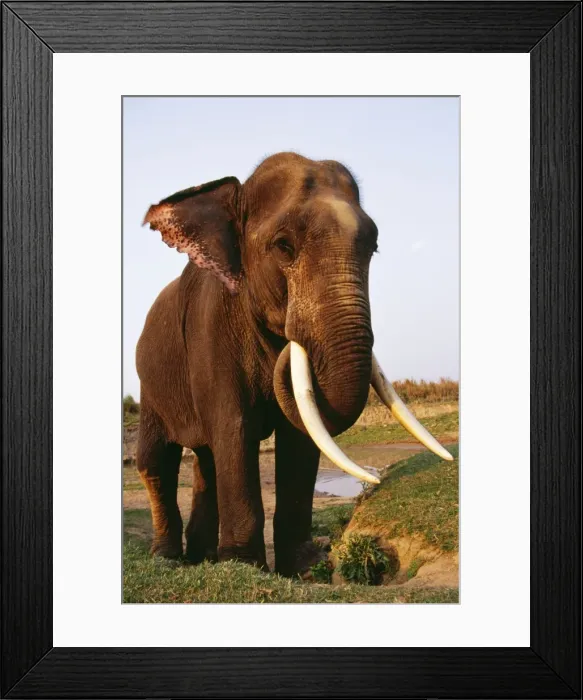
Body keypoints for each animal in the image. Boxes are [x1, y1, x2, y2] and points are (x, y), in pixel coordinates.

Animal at [136, 151, 451, 576]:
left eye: (374, 247)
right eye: (283, 246)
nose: (291, 336)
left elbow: (300, 434)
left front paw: (306, 566)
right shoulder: (210, 327)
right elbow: (234, 426)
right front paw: (244, 566)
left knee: (205, 460)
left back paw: (201, 557)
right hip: (149, 385)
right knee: (157, 461)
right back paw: (169, 560)